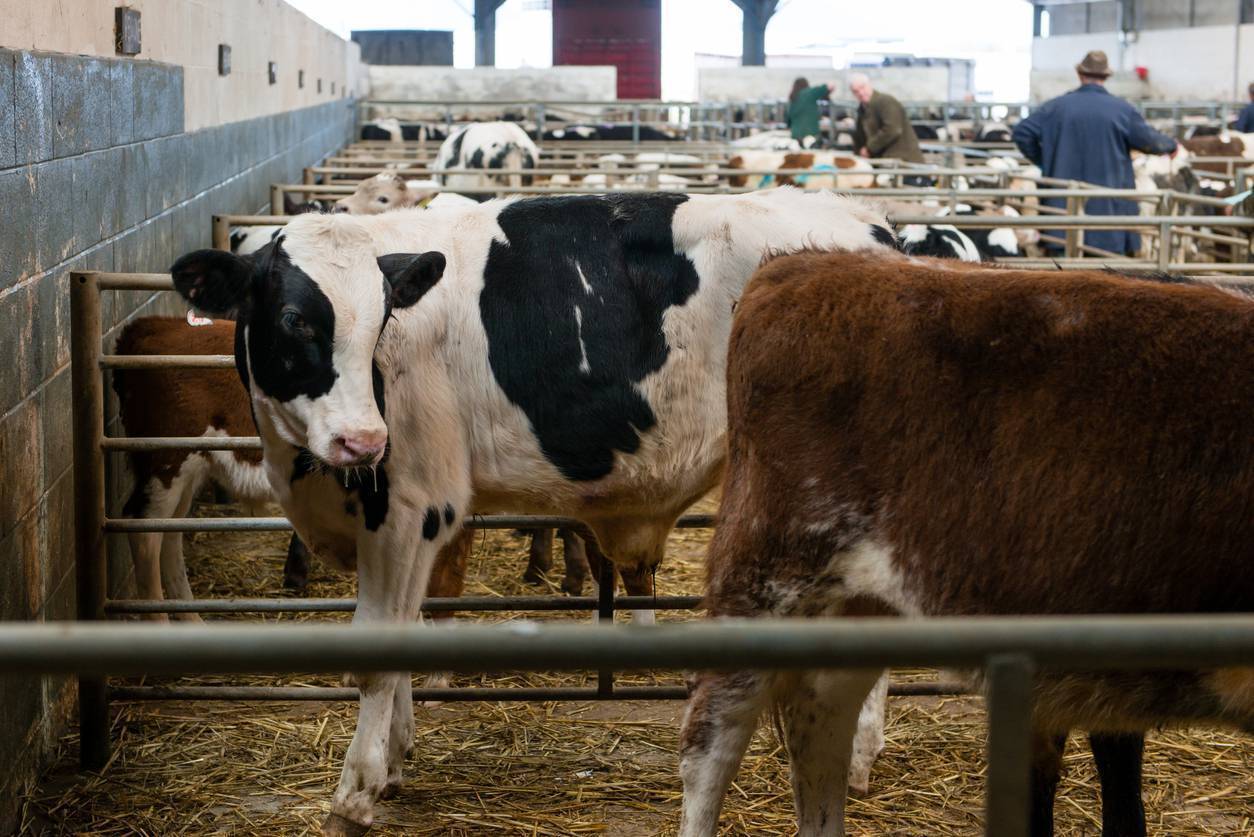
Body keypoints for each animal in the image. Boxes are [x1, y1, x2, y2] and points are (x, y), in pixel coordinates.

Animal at [169, 188, 896, 833]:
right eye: (294, 320)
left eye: (380, 323)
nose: (364, 440)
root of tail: (865, 221)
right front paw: (396, 758)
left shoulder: (411, 507)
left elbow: (380, 647)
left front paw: (355, 793)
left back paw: (858, 756)